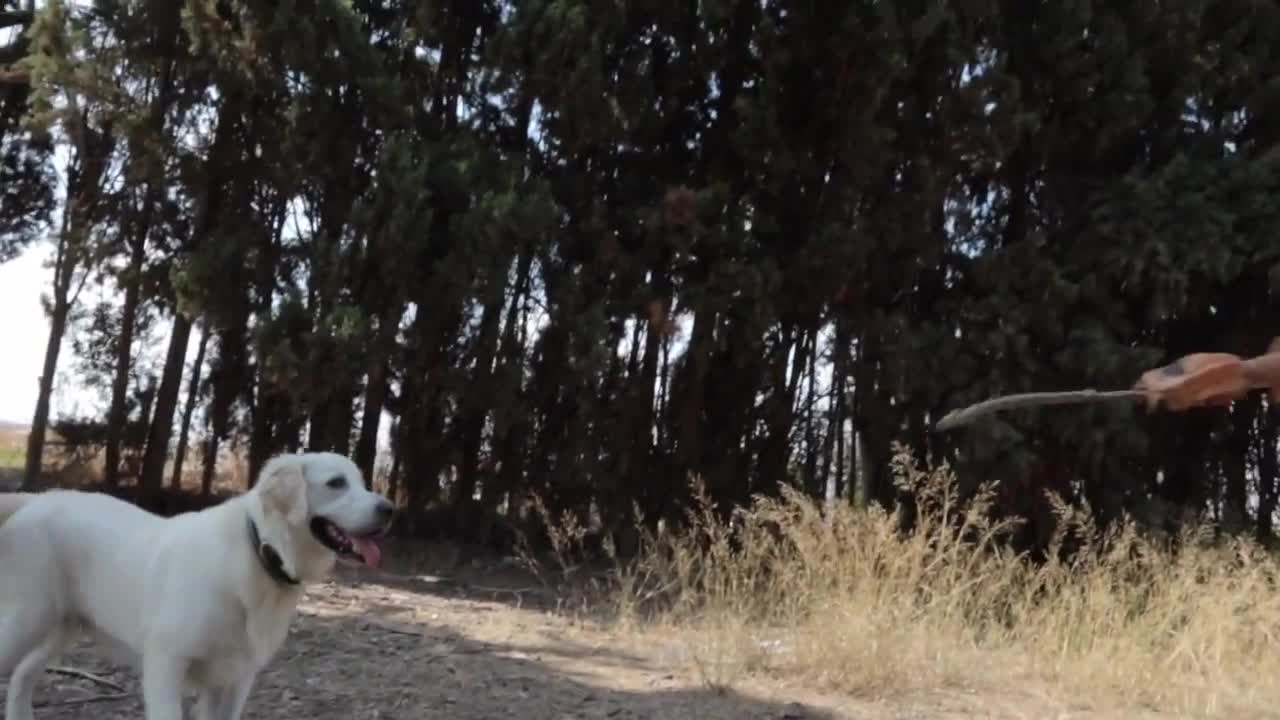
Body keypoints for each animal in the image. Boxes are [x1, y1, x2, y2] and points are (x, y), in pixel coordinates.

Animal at [0, 450, 391, 717]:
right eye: (336, 483)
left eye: (362, 481)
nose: (389, 509)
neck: (260, 551)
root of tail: (36, 500)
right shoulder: (166, 664)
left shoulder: (235, 679)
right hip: (27, 619)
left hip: (62, 625)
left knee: (23, 675)